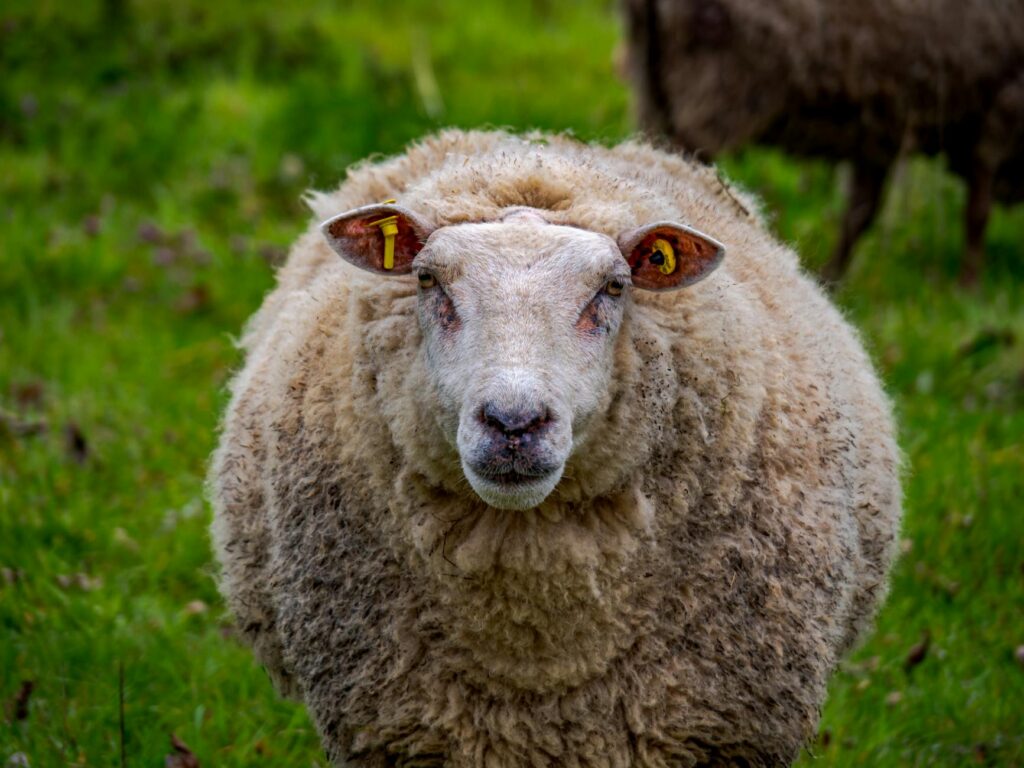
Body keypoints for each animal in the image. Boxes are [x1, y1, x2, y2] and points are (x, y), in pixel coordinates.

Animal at [622, 0, 1024, 285]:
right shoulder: (1001, 108)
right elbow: (977, 213)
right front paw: (968, 287)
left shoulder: (881, 127)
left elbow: (860, 214)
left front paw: (833, 278)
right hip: (714, 83)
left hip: (654, 78)